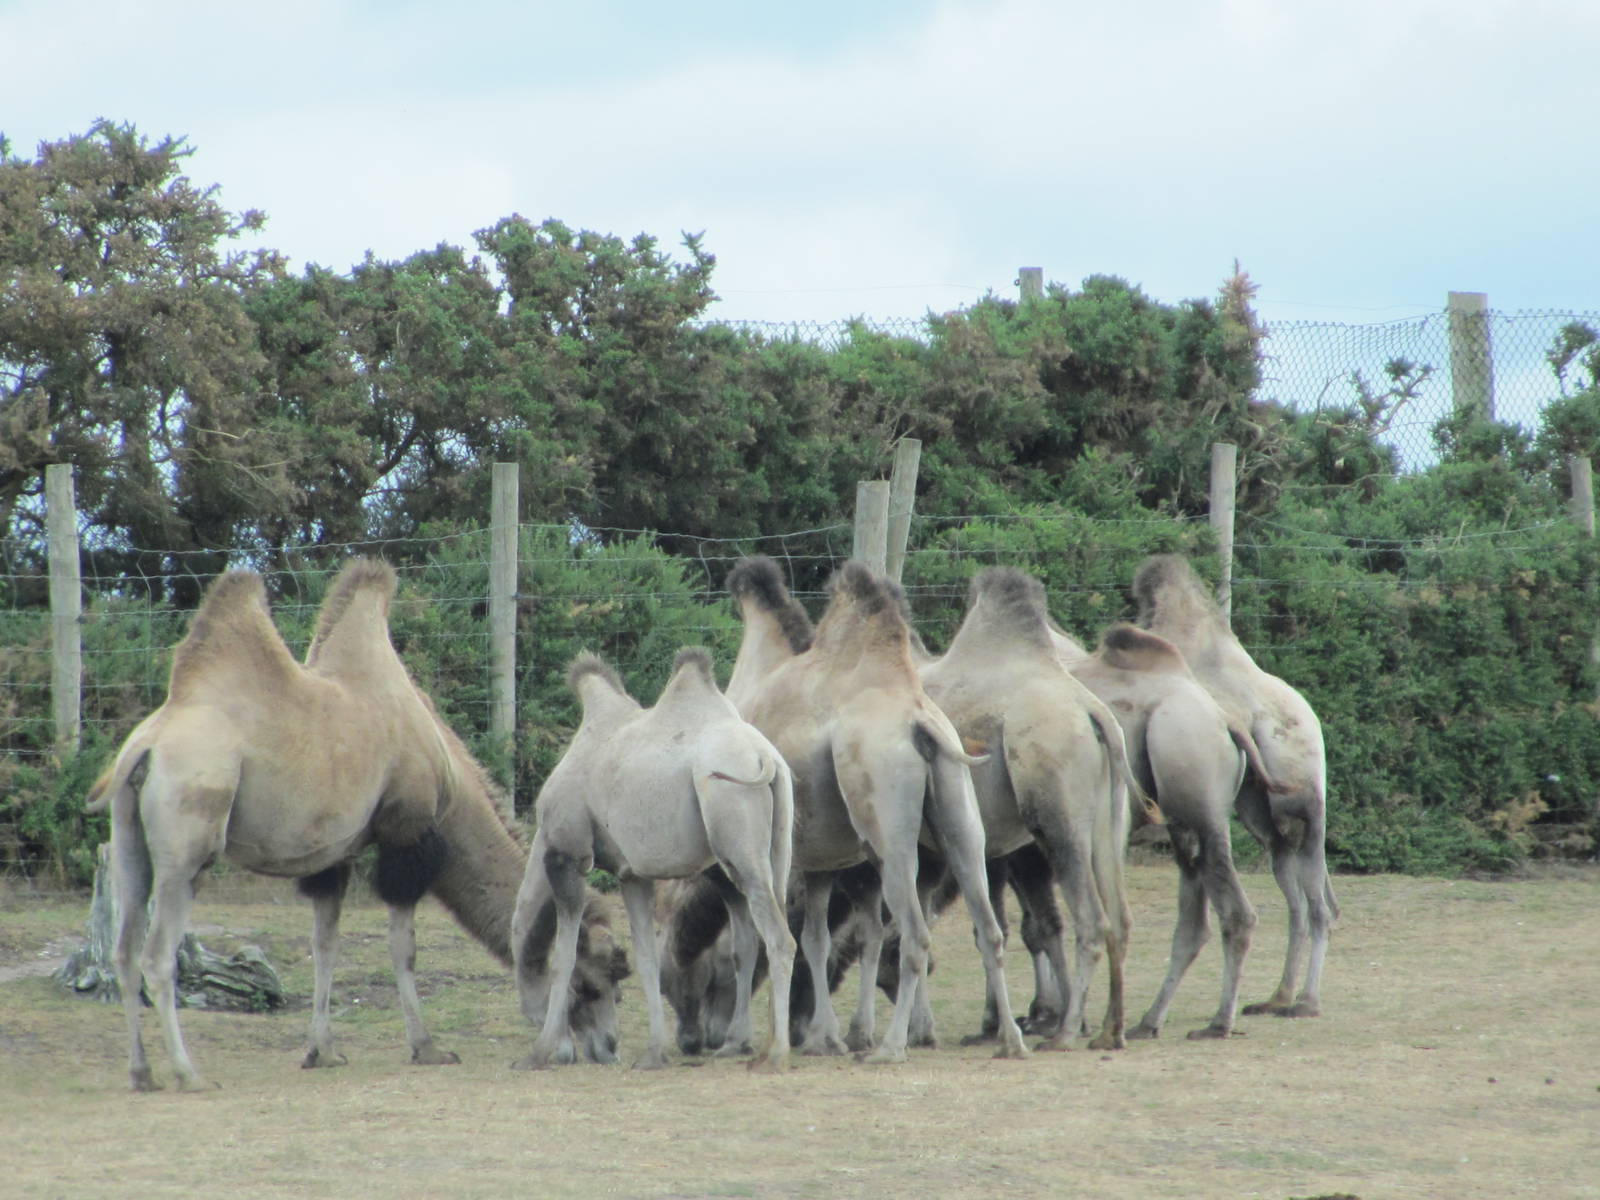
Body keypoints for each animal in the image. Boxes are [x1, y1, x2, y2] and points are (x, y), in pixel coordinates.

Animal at [85, 560, 627, 1092]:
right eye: (591, 983)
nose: (607, 1048)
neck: (451, 783)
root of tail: (144, 748)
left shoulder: (332, 853)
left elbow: (325, 946)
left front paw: (321, 1051)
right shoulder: (405, 831)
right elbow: (404, 948)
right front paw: (428, 1048)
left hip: (128, 838)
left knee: (124, 949)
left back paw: (141, 1072)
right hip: (188, 842)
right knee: (158, 955)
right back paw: (187, 1073)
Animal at [510, 647, 796, 1071]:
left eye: (589, 989)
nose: (606, 1047)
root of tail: (767, 759)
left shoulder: (568, 854)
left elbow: (564, 956)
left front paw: (538, 1053)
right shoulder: (632, 875)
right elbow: (647, 958)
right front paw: (652, 1053)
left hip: (737, 839)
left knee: (779, 938)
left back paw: (775, 1054)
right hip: (767, 853)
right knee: (760, 932)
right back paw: (747, 1043)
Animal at [722, 556, 1027, 1063]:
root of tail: (921, 724)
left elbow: (760, 940)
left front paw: (751, 1039)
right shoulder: (819, 860)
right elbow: (815, 940)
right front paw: (824, 1037)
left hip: (887, 824)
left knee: (913, 933)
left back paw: (890, 1047)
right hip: (960, 812)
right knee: (989, 927)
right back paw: (1011, 1040)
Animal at [1133, 553, 1340, 1019]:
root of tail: (1311, 718)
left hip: (1304, 799)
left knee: (1318, 902)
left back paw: (1307, 1002)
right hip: (1260, 814)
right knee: (1293, 891)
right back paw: (1276, 997)